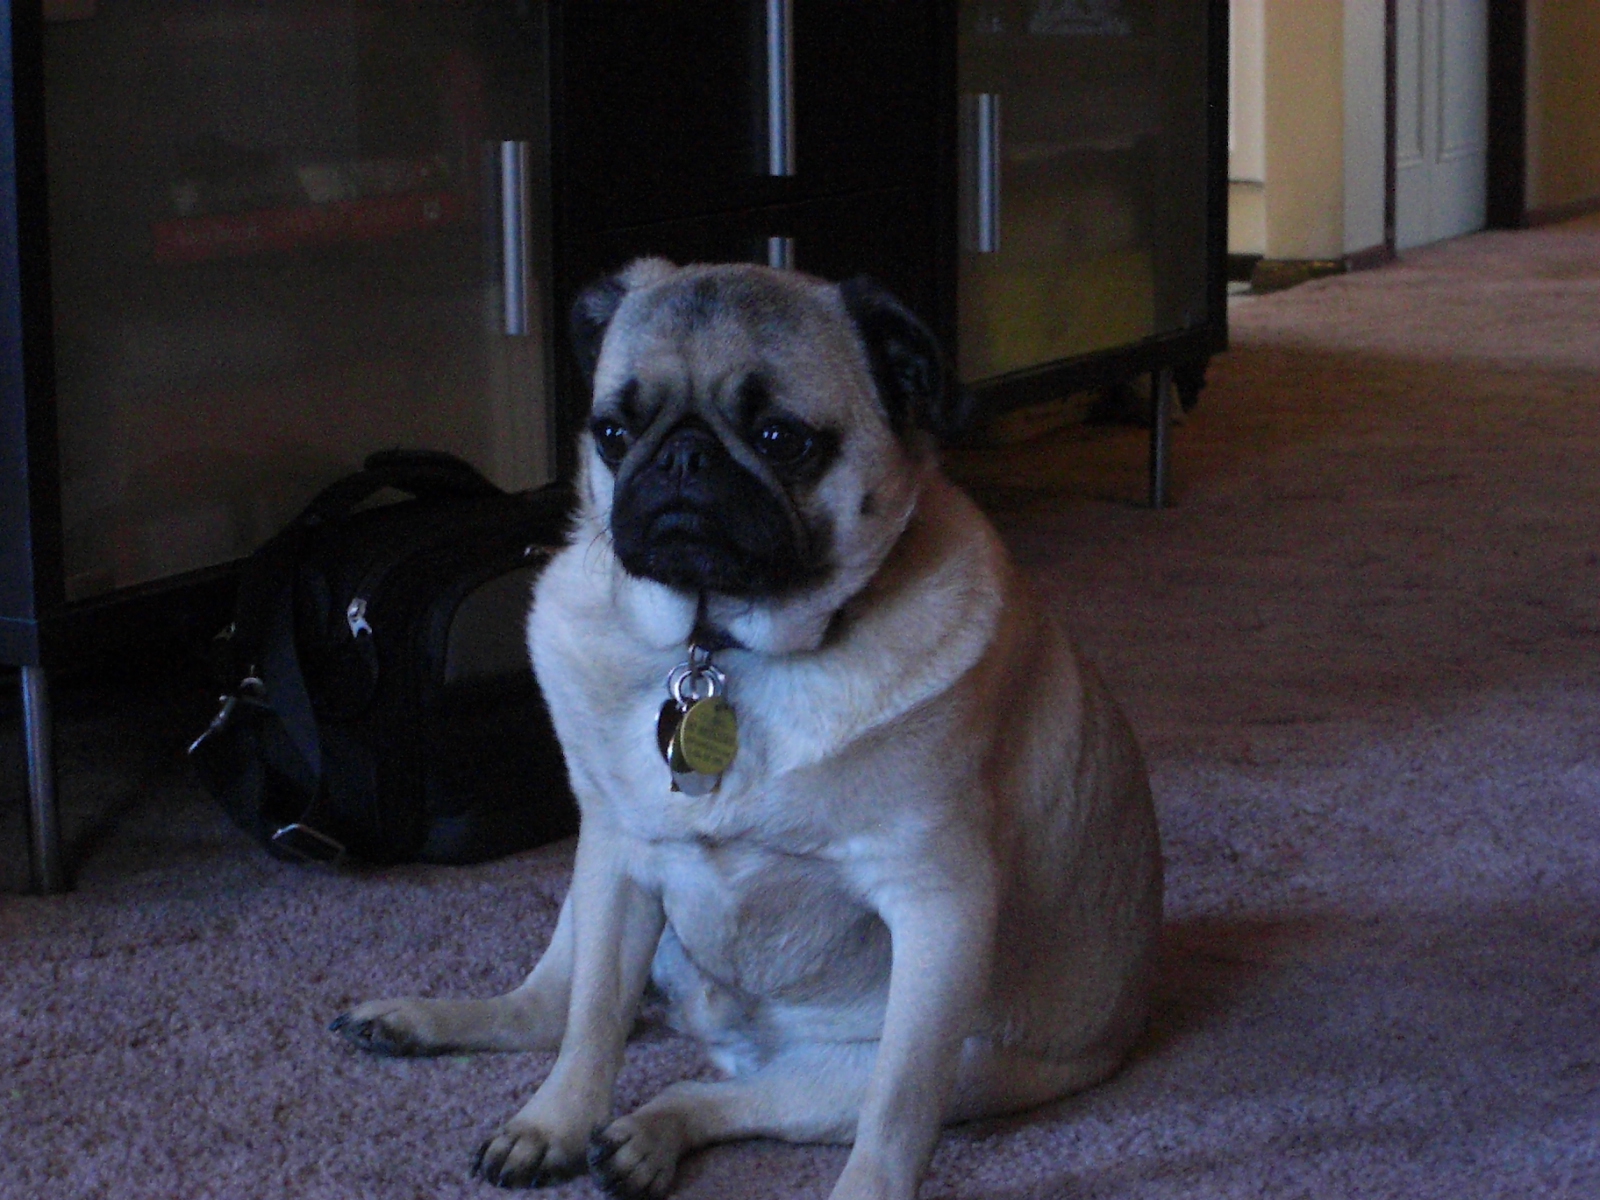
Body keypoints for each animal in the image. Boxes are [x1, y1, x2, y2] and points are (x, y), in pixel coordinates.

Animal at [337, 262, 1164, 1200]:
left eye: (781, 438)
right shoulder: (618, 858)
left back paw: (646, 1137)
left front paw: (866, 1193)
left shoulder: (939, 909)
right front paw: (556, 1121)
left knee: (728, 1095)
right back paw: (431, 1028)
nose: (683, 455)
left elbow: (898, 1109)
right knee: (547, 1008)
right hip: (590, 883)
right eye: (613, 432)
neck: (717, 649)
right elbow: (594, 1026)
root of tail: (722, 1033)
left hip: (952, 1065)